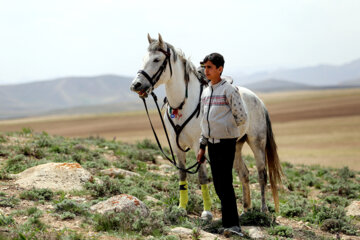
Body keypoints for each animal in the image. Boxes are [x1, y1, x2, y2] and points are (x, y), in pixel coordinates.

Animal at [131, 33, 282, 219]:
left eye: (157, 59)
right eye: (143, 58)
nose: (136, 85)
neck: (182, 104)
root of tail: (259, 100)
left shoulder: (199, 146)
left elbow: (202, 177)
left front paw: (207, 212)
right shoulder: (176, 146)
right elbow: (182, 174)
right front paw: (181, 208)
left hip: (257, 142)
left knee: (261, 174)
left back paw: (263, 210)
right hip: (236, 145)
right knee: (244, 174)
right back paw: (246, 210)